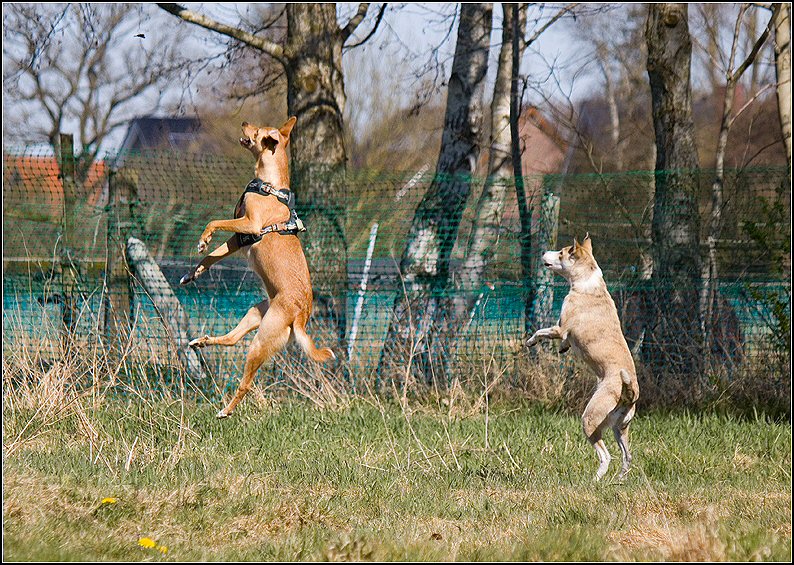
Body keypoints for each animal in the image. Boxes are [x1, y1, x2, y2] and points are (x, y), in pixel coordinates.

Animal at [180, 117, 335, 418]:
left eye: (258, 130)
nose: (244, 121)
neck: (269, 184)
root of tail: (300, 316)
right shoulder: (239, 239)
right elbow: (211, 257)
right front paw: (193, 273)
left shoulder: (249, 225)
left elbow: (214, 223)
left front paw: (203, 239)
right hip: (256, 312)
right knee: (232, 339)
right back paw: (201, 342)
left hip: (262, 340)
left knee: (246, 383)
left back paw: (226, 410)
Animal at [526, 234, 639, 480]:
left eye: (561, 253)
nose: (543, 253)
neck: (588, 282)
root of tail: (631, 393)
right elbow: (563, 342)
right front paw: (563, 349)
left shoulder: (560, 328)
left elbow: (542, 332)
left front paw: (530, 341)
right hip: (619, 428)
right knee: (627, 457)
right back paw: (619, 479)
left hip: (590, 421)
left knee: (606, 456)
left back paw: (596, 480)